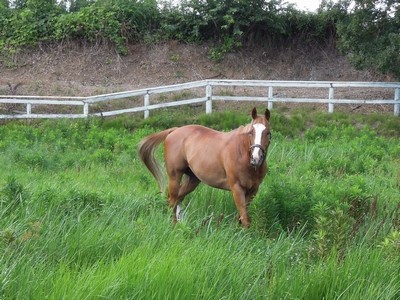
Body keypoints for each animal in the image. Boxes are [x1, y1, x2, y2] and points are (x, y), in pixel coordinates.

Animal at [138, 108, 272, 227]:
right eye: (251, 132)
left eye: (268, 133)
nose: (256, 158)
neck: (242, 154)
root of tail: (174, 131)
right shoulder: (237, 188)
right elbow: (244, 217)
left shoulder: (253, 190)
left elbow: (241, 216)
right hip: (174, 177)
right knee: (172, 201)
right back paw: (174, 225)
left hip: (193, 180)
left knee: (178, 198)